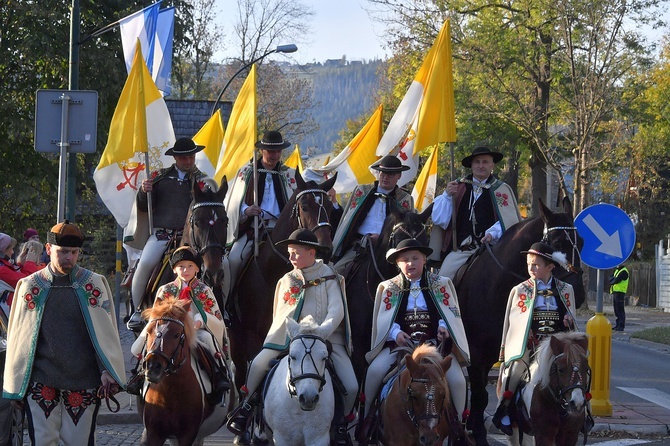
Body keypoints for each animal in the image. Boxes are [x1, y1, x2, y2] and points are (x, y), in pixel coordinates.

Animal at [138, 296, 235, 446]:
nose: (153, 367)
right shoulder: (155, 434)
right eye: (148, 331)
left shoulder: (187, 434)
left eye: (177, 334)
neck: (169, 392)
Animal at [456, 199, 588, 446]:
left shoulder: (493, 354)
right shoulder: (476, 355)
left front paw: (475, 429)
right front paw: (478, 434)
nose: (579, 292)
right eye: (557, 242)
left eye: (582, 243)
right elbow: (480, 395)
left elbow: (484, 394)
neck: (493, 286)